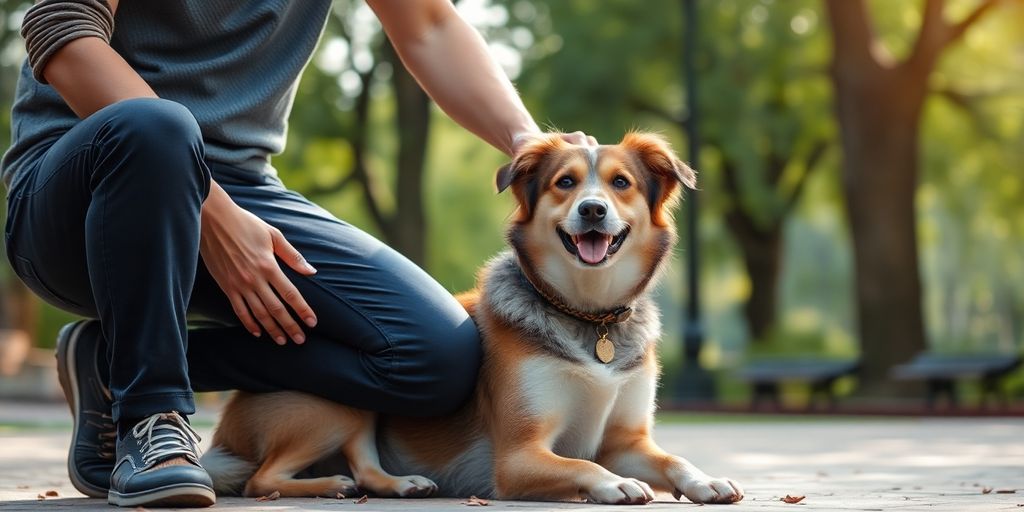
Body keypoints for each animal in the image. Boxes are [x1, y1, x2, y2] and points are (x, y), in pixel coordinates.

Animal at [199, 132, 745, 503]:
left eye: (621, 183)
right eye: (565, 183)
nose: (592, 209)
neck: (589, 318)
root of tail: (229, 422)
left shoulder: (627, 440)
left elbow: (673, 457)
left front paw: (705, 479)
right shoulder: (519, 456)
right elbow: (581, 465)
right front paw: (617, 485)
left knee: (364, 467)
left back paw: (400, 483)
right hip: (334, 404)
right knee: (261, 479)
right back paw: (332, 481)